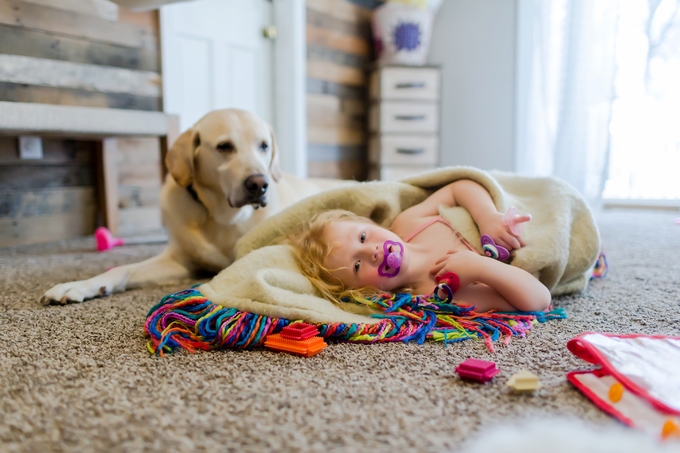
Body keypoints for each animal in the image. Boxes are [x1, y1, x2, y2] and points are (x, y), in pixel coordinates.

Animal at [41, 108, 346, 304]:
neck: (222, 216)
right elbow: (121, 269)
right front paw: (80, 285)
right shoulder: (178, 262)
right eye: (224, 146)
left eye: (264, 146)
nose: (259, 184)